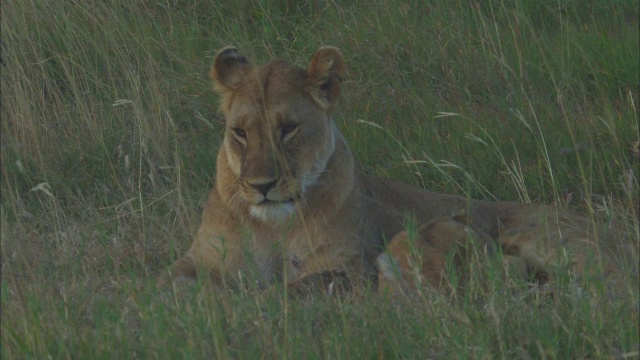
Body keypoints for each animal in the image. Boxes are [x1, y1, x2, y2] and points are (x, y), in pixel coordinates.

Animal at [156, 45, 632, 296]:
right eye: (239, 132)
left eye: (289, 129)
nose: (261, 186)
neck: (271, 226)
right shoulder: (199, 257)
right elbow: (160, 281)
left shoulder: (350, 268)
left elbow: (290, 289)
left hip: (562, 246)